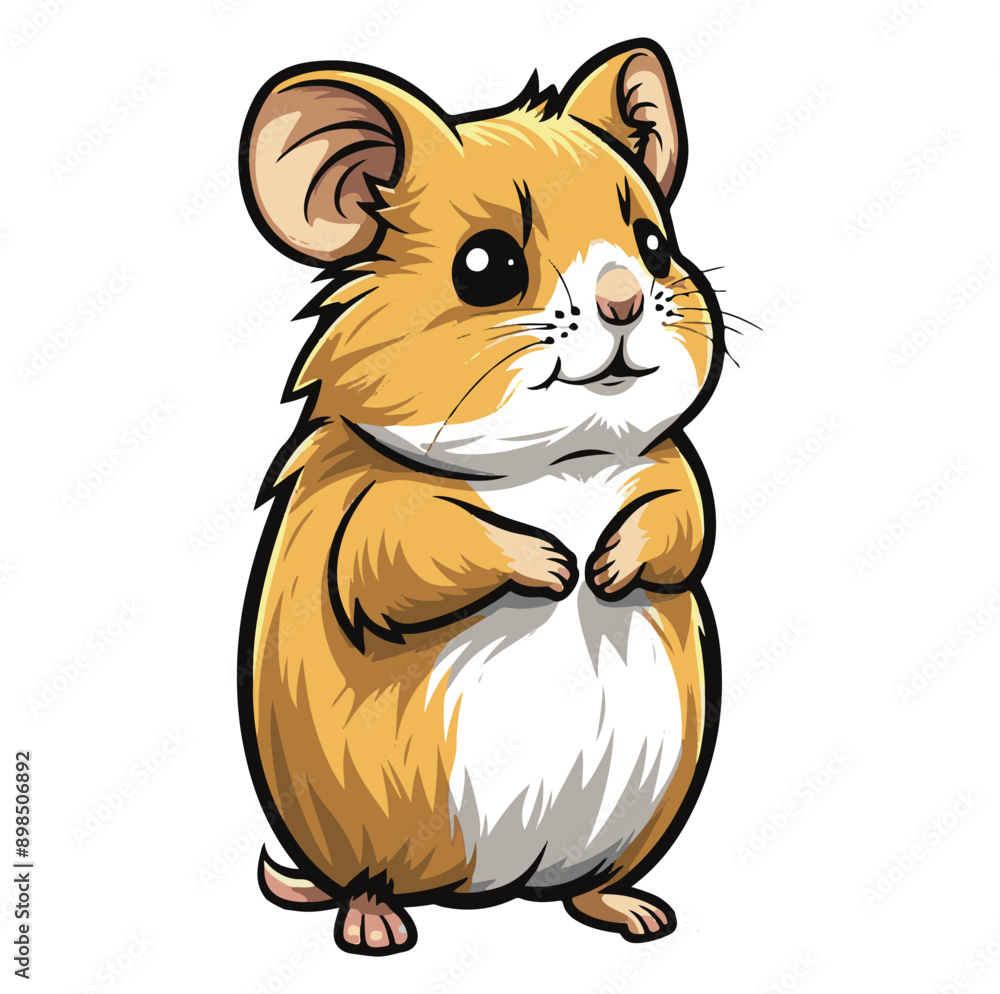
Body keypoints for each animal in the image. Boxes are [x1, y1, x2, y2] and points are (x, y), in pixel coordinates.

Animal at [237, 38, 725, 956]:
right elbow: (416, 557)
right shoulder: (374, 516)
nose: (625, 300)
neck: (559, 459)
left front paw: (605, 568)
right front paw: (558, 567)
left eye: (651, 244)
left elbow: (681, 527)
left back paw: (638, 915)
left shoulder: (669, 469)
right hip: (363, 838)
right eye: (487, 265)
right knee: (368, 884)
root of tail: (494, 891)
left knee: (588, 888)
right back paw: (376, 930)